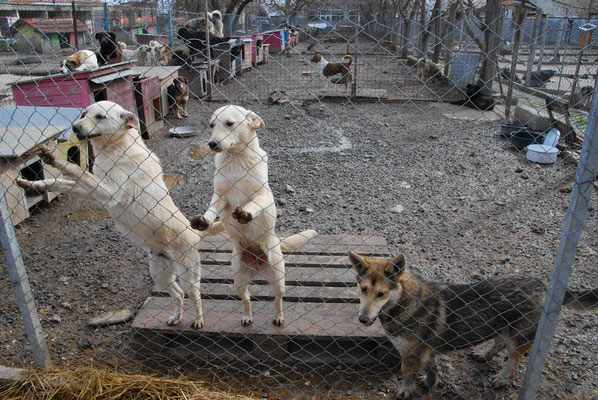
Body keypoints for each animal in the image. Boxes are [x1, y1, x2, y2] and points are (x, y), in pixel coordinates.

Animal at [16, 101, 224, 332]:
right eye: (84, 114)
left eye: (100, 116)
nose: (75, 127)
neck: (115, 148)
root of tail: (193, 233)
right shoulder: (93, 190)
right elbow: (62, 182)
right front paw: (34, 185)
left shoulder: (109, 192)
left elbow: (77, 171)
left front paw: (53, 159)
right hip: (160, 273)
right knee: (178, 295)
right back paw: (176, 317)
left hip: (188, 273)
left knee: (195, 295)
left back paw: (198, 319)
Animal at [192, 104, 318, 326]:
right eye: (211, 125)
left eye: (229, 123)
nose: (212, 143)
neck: (236, 160)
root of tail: (257, 265)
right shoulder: (220, 197)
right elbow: (212, 209)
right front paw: (204, 221)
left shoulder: (263, 195)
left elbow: (254, 204)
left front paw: (245, 213)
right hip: (238, 279)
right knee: (247, 299)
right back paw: (247, 316)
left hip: (278, 276)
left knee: (278, 298)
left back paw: (279, 316)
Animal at [350, 252, 598, 398]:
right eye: (363, 289)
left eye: (381, 294)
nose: (363, 320)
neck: (403, 301)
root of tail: (542, 285)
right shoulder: (419, 351)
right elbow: (429, 370)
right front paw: (430, 383)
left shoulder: (412, 352)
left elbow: (407, 373)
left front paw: (405, 391)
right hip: (502, 326)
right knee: (499, 341)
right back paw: (484, 355)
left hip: (518, 335)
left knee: (514, 357)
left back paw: (502, 378)